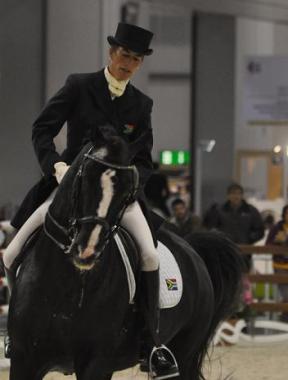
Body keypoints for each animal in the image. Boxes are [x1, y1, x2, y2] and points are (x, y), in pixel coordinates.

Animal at [7, 134, 243, 380]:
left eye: (127, 194)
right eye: (85, 178)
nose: (87, 249)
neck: (68, 283)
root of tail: (192, 250)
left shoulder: (96, 363)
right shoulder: (24, 360)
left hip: (185, 352)